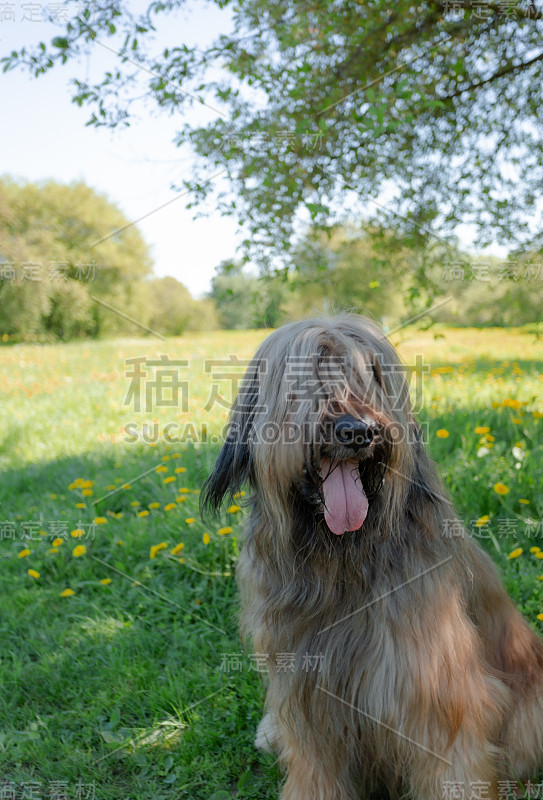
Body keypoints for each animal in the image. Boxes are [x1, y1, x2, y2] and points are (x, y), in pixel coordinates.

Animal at [203, 312, 543, 800]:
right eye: (308, 375)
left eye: (375, 375)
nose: (358, 431)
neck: (341, 561)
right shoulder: (304, 695)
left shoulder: (436, 693)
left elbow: (453, 766)